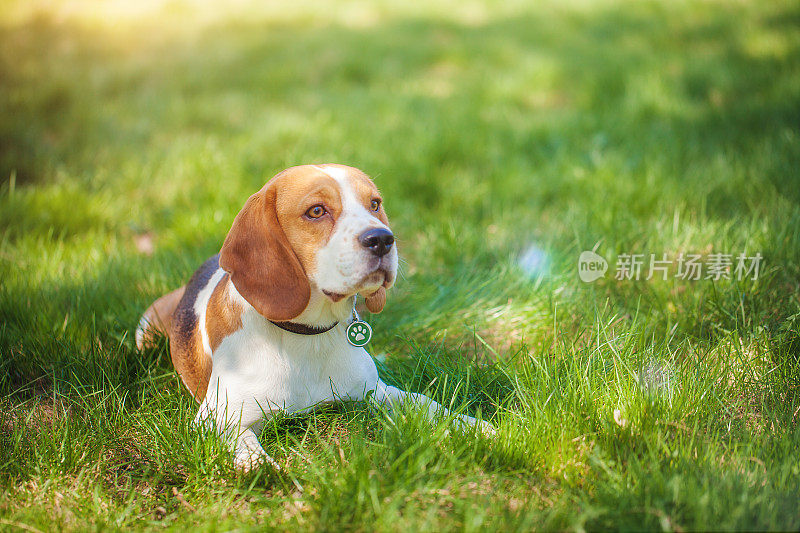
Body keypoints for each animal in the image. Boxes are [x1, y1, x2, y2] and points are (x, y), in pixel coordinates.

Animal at [136, 163, 494, 470]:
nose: (382, 239)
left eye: (374, 204)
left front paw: (474, 426)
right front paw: (261, 468)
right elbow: (247, 447)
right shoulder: (216, 419)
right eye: (317, 211)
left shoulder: (375, 391)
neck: (308, 336)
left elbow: (427, 403)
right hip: (146, 331)